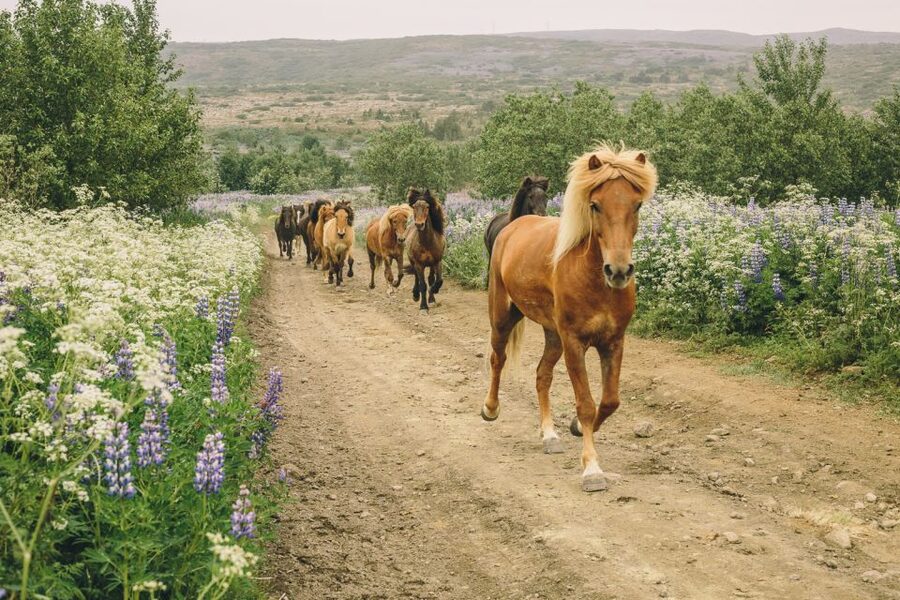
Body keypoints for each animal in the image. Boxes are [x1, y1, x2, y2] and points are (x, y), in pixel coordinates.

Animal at [481, 144, 657, 493]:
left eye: (637, 204)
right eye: (595, 205)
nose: (618, 271)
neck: (594, 280)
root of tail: (513, 226)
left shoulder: (613, 342)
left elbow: (610, 401)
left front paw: (575, 428)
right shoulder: (575, 342)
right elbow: (586, 404)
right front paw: (592, 470)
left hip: (553, 336)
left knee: (542, 375)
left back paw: (549, 435)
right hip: (503, 316)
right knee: (498, 358)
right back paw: (490, 409)